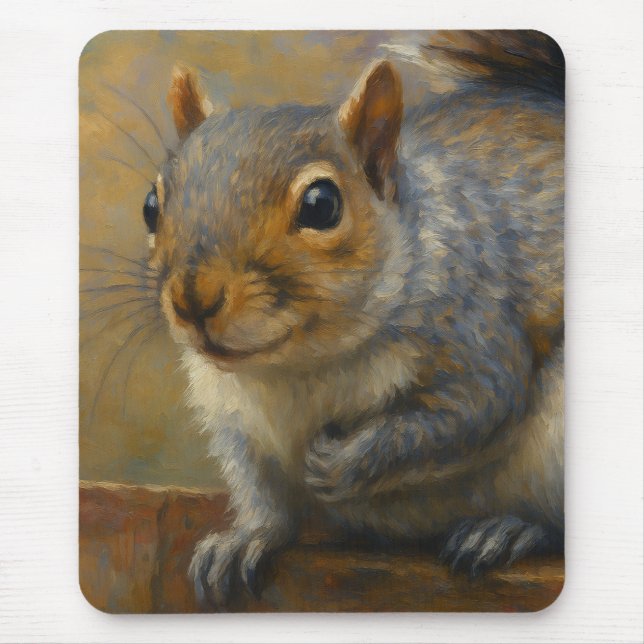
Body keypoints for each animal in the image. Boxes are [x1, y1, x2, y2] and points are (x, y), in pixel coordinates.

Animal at [140, 31, 564, 609]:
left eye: (322, 205)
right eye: (151, 205)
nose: (193, 298)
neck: (298, 365)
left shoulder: (476, 333)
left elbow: (467, 413)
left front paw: (341, 463)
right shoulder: (236, 421)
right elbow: (260, 493)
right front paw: (245, 538)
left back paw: (507, 529)